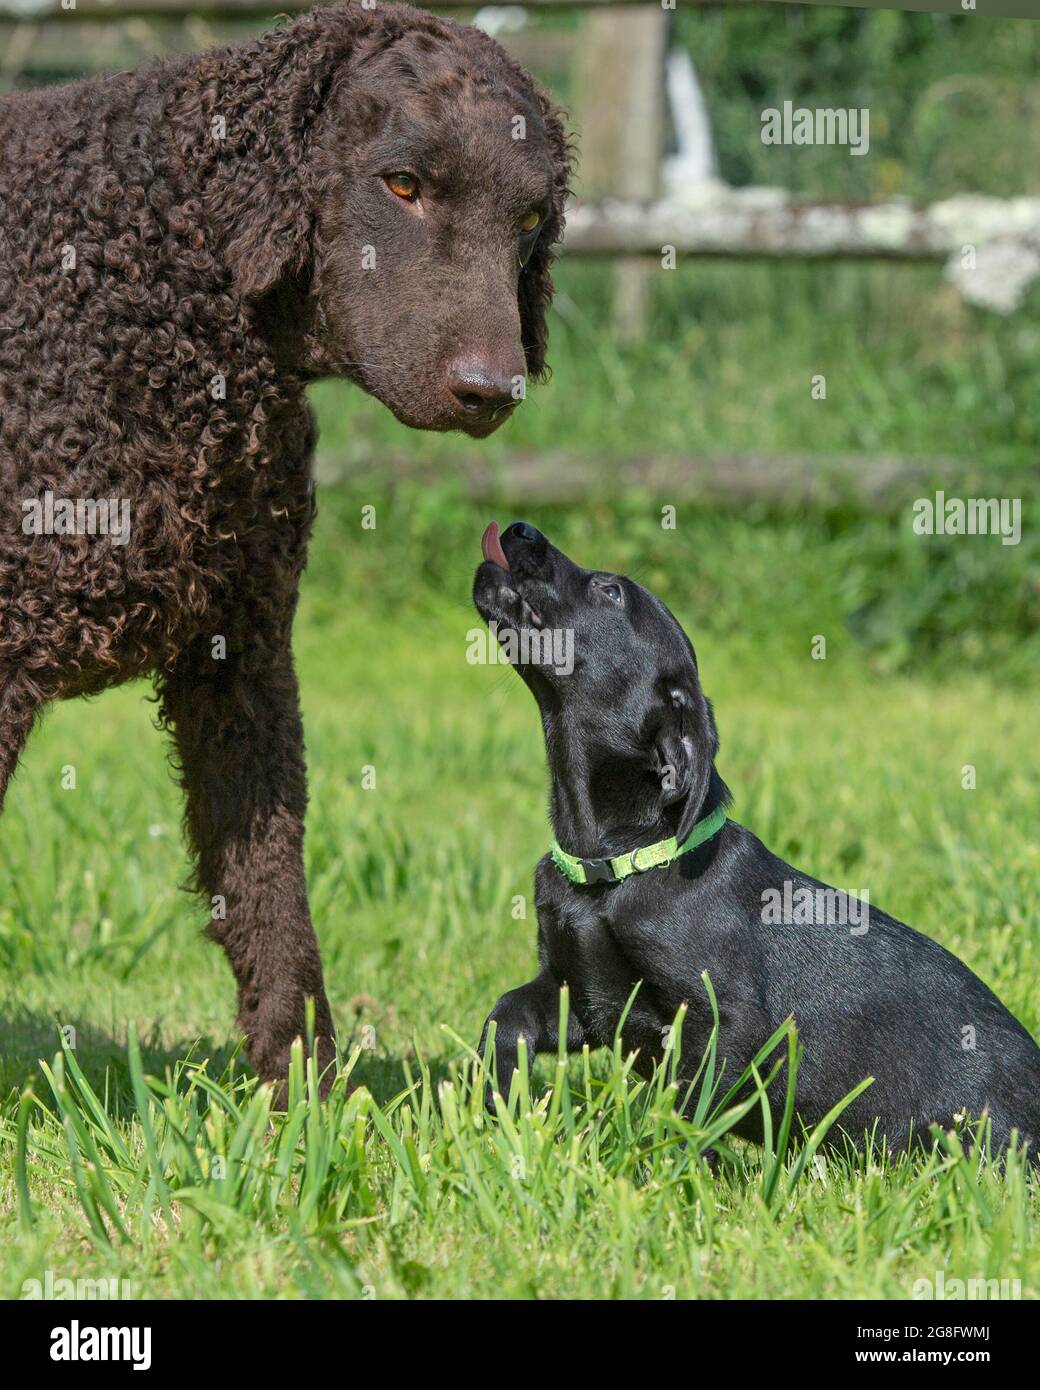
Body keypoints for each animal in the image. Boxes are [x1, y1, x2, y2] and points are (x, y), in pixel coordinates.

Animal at [0, 0, 570, 1084]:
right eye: (402, 183)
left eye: (528, 221)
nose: (493, 389)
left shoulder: (244, 649)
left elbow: (267, 883)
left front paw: (298, 1090)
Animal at [475, 522, 1040, 1162]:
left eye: (609, 591)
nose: (518, 529)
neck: (613, 866)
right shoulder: (580, 993)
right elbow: (506, 1014)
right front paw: (496, 1096)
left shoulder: (725, 1019)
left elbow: (686, 1110)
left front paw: (666, 1167)